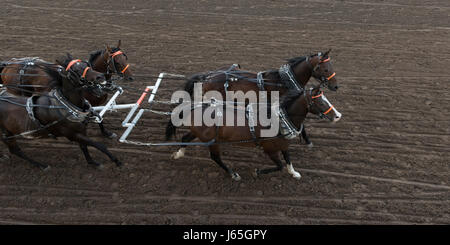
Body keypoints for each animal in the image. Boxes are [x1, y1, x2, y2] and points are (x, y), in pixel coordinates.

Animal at [165, 85, 342, 180]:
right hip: (213, 141)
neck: (279, 119)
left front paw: (294, 173)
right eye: (320, 101)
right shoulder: (269, 149)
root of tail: (195, 106)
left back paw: (178, 154)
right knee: (215, 157)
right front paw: (257, 171)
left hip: (199, 133)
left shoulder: (283, 144)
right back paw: (233, 174)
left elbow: (288, 159)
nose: (338, 116)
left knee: (185, 138)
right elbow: (279, 165)